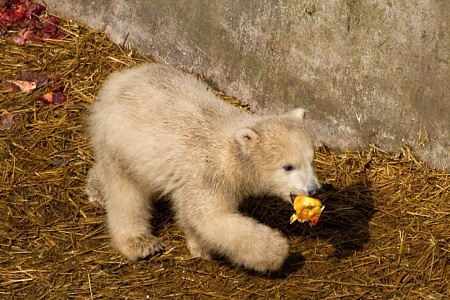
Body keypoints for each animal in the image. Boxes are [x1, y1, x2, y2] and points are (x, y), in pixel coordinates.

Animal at [85, 63, 320, 272]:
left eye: (311, 159)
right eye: (288, 166)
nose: (315, 190)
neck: (232, 152)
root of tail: (118, 79)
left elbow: (190, 217)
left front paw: (199, 247)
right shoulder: (208, 174)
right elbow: (208, 216)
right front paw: (277, 251)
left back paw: (97, 190)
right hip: (121, 141)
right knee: (125, 192)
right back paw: (140, 242)